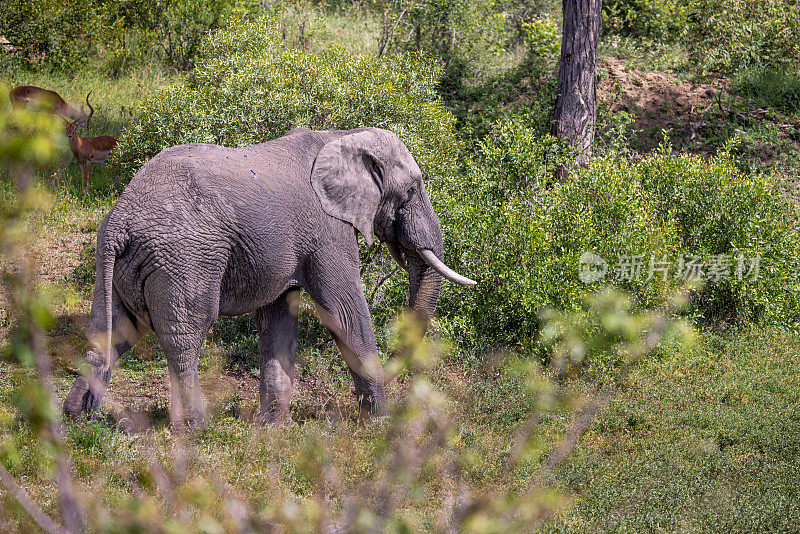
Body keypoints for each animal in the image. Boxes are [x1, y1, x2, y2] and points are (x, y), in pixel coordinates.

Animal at [65, 125, 476, 428]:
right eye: (410, 190)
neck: (343, 135)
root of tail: (120, 221)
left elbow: (279, 318)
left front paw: (271, 427)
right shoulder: (327, 229)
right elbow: (343, 311)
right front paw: (379, 424)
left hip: (120, 263)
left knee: (112, 330)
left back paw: (77, 418)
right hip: (184, 259)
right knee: (186, 335)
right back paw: (198, 428)